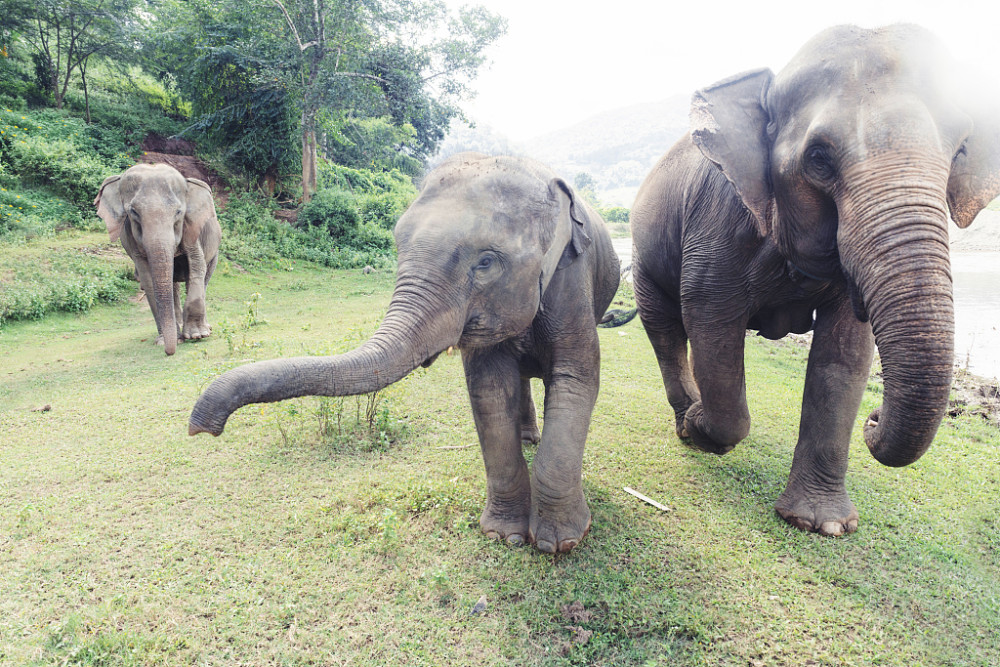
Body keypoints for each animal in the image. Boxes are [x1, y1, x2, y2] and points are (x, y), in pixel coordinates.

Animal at [95, 163, 221, 355]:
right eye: (133, 212)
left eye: (178, 212)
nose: (170, 352)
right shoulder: (130, 238)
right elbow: (148, 279)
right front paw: (166, 341)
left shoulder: (191, 228)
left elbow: (197, 266)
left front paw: (197, 336)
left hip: (215, 249)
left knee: (204, 276)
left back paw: (204, 328)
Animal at [189, 153, 621, 553]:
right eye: (398, 245)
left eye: (485, 262)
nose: (200, 429)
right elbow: (489, 391)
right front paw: (505, 536)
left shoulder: (572, 283)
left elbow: (576, 380)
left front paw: (558, 544)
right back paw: (528, 437)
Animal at [630, 25, 1000, 536]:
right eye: (819, 159)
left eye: (960, 150)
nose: (874, 419)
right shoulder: (720, 222)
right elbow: (710, 318)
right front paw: (701, 425)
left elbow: (844, 353)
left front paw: (821, 525)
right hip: (643, 254)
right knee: (664, 327)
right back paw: (686, 420)